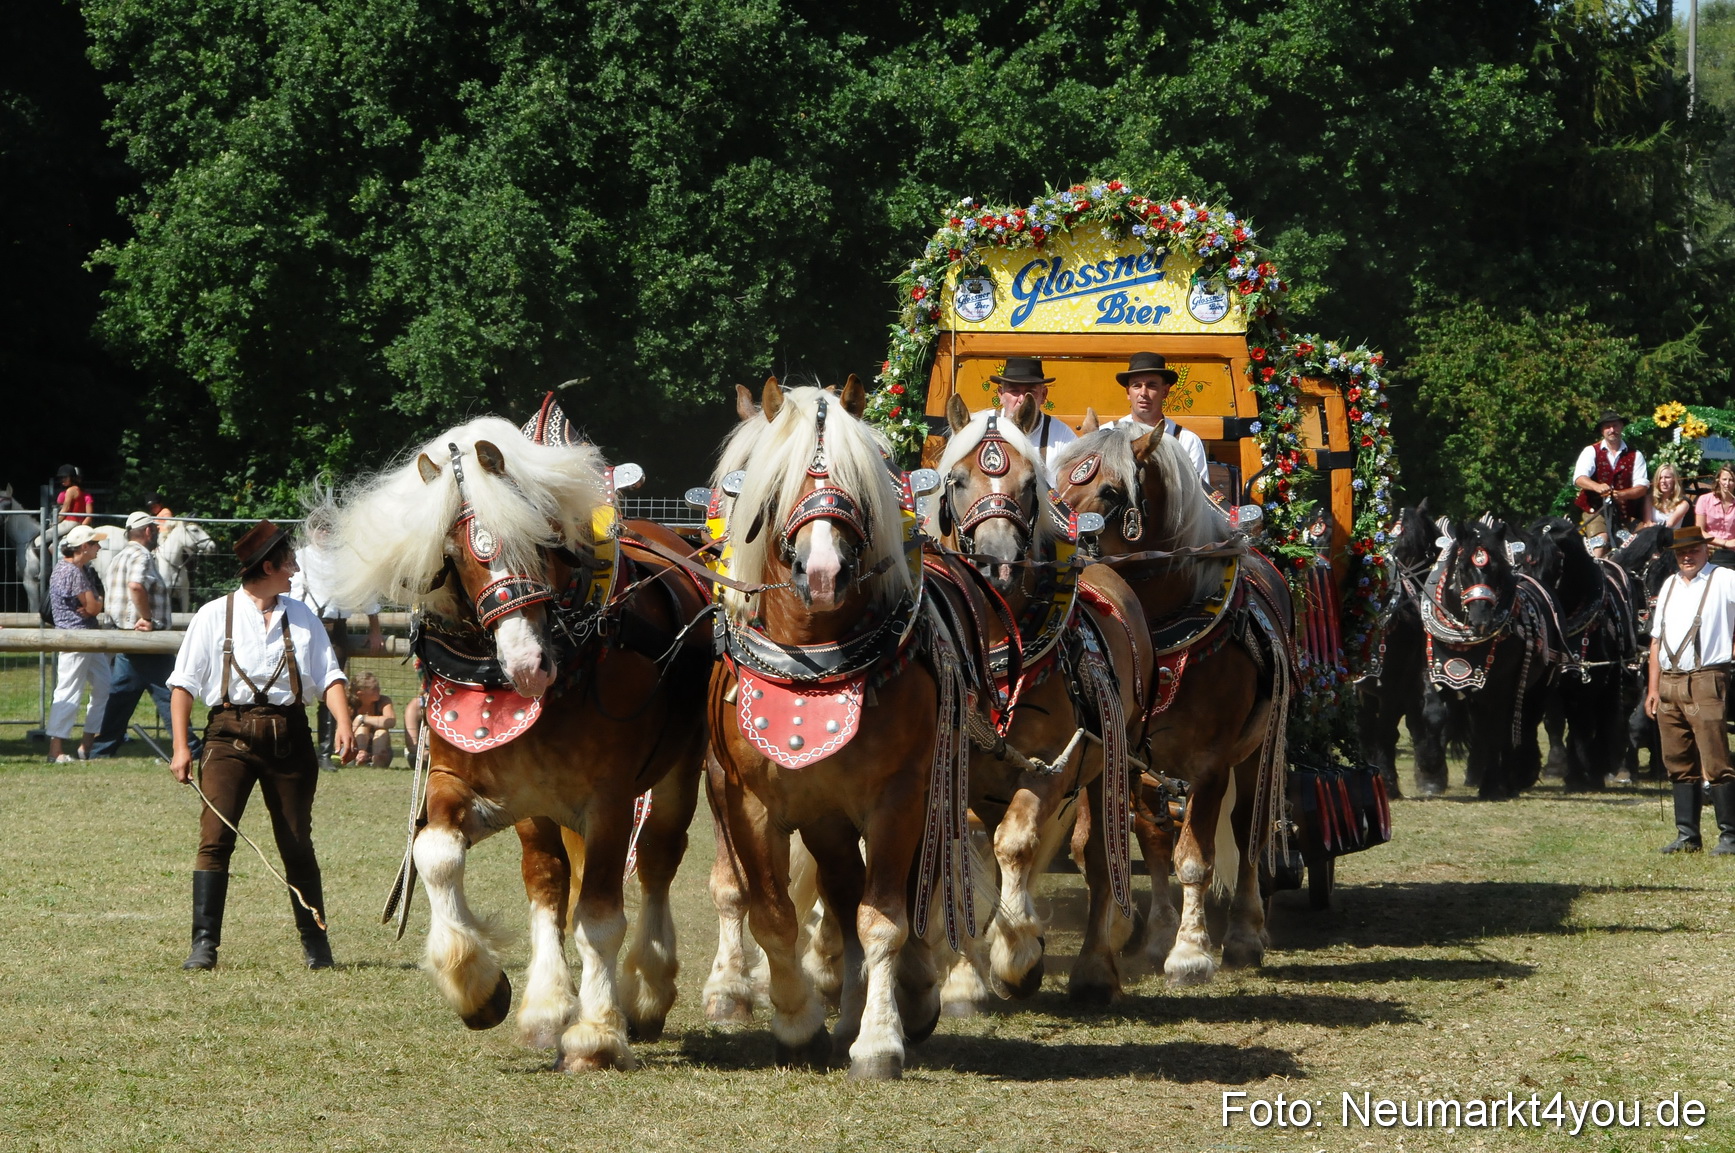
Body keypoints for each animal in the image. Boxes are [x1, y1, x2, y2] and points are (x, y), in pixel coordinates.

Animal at [330, 412, 712, 1072]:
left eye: (540, 540)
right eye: (454, 553)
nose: (528, 665)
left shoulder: (610, 800)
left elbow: (601, 916)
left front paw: (596, 1034)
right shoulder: (466, 783)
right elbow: (436, 854)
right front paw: (478, 986)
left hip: (675, 774)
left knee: (658, 861)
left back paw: (646, 992)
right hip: (538, 806)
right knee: (547, 879)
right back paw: (546, 1005)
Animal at [705, 379, 987, 1079]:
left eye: (860, 485)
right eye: (775, 488)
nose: (824, 572)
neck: (815, 660)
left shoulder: (899, 797)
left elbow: (884, 916)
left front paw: (880, 1040)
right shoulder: (747, 799)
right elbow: (773, 913)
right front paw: (797, 1023)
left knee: (903, 891)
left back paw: (905, 998)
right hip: (826, 817)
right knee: (838, 890)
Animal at [934, 395, 1153, 1004]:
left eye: (1031, 484)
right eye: (956, 480)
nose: (997, 562)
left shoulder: (1053, 765)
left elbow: (1017, 844)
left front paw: (1016, 955)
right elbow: (968, 852)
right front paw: (964, 979)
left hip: (1109, 763)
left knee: (1097, 857)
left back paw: (1095, 969)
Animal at [1053, 418, 1293, 989]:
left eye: (1109, 491)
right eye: (1057, 472)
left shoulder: (1210, 765)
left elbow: (1195, 858)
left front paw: (1190, 953)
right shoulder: (1129, 754)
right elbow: (1144, 845)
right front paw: (1155, 936)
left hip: (1258, 750)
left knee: (1249, 830)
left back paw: (1246, 933)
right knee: (1156, 834)